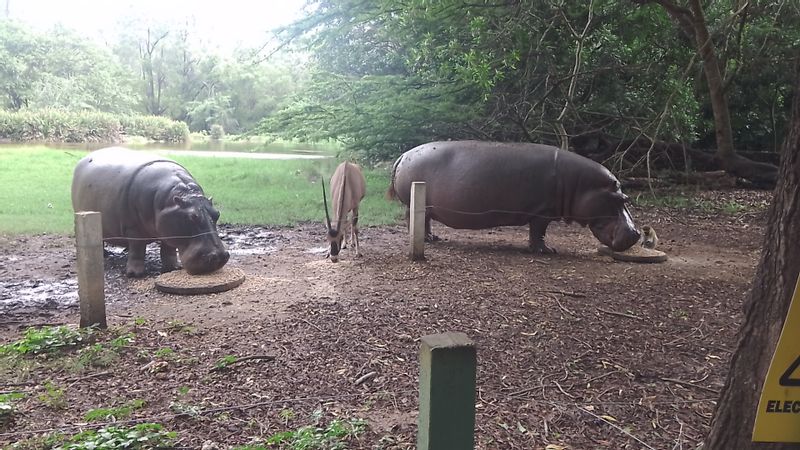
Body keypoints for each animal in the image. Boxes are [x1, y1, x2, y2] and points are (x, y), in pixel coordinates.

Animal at [70, 147, 230, 278]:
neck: (183, 194)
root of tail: (84, 158)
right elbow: (138, 249)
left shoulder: (167, 227)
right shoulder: (133, 228)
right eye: (191, 217)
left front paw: (174, 268)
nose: (220, 256)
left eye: (217, 214)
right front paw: (135, 274)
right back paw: (104, 255)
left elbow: (168, 249)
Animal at [384, 141, 640, 253]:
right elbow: (538, 233)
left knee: (424, 221)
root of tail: (404, 155)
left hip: (424, 205)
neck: (580, 184)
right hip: (415, 202)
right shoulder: (542, 213)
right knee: (414, 220)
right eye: (622, 199)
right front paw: (547, 251)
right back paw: (425, 240)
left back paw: (432, 238)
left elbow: (536, 233)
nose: (637, 233)